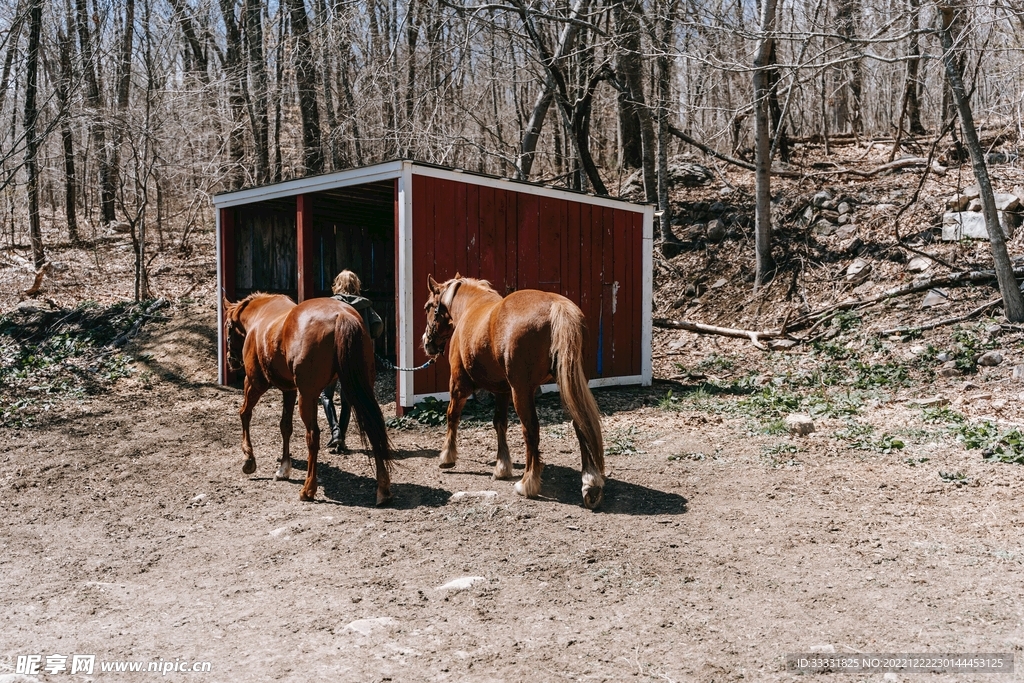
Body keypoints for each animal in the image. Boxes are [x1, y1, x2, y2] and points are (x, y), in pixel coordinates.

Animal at [222, 293, 393, 505]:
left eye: (228, 326)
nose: (231, 360)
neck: (260, 316)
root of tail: (342, 315)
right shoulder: (289, 390)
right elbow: (285, 426)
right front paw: (283, 468)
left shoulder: (255, 382)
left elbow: (244, 414)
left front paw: (249, 459)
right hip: (360, 388)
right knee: (373, 428)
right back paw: (383, 488)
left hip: (308, 396)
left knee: (313, 436)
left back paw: (308, 489)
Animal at [421, 275, 606, 509]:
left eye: (428, 306)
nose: (427, 342)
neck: (470, 307)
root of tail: (557, 306)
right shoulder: (502, 391)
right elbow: (500, 423)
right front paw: (502, 467)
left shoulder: (459, 384)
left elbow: (452, 416)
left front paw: (447, 457)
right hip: (570, 384)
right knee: (580, 424)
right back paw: (590, 483)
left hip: (522, 391)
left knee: (531, 430)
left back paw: (528, 483)